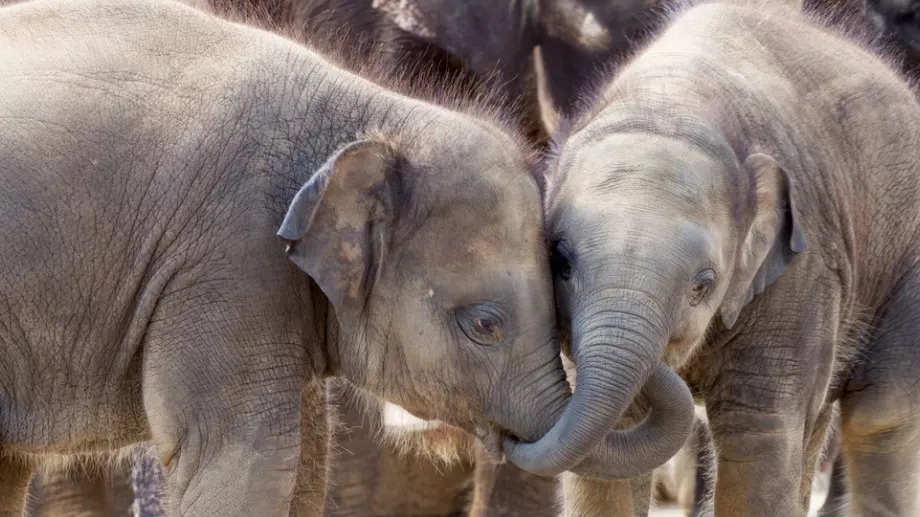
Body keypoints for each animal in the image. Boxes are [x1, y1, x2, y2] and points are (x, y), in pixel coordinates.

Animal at [532, 0, 920, 512]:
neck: (672, 103)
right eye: (560, 263)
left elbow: (755, 432)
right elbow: (612, 440)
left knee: (881, 414)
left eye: (703, 284)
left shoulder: (804, 270)